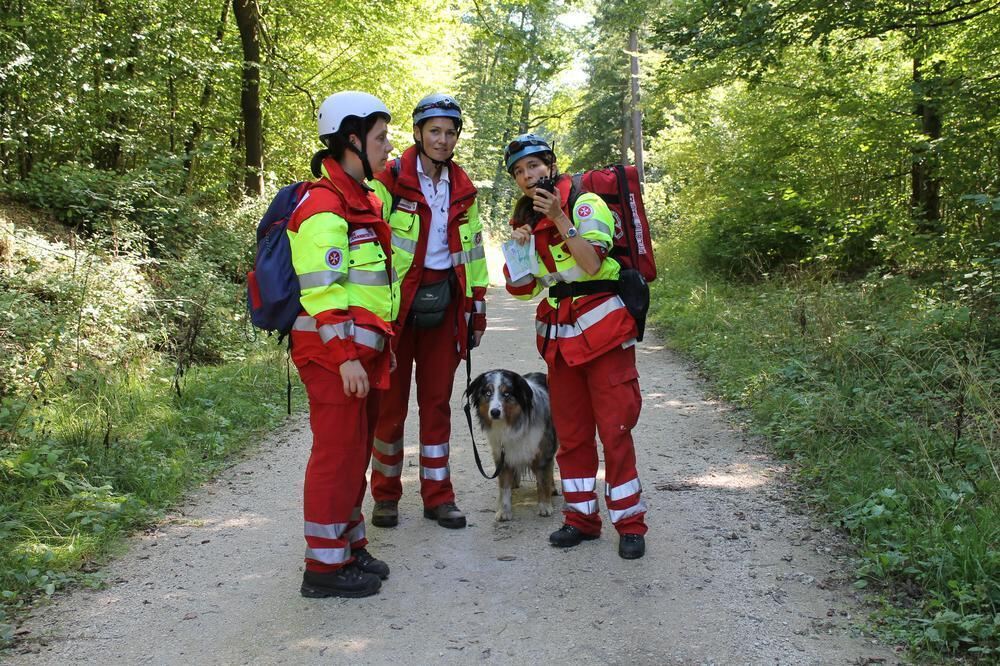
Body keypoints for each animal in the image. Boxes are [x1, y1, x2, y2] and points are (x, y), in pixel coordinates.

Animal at [464, 368, 560, 520]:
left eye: (507, 393)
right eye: (488, 393)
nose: (495, 412)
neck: (511, 425)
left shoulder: (543, 452)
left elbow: (543, 481)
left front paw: (545, 506)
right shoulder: (501, 454)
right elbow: (504, 487)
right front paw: (504, 511)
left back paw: (552, 488)